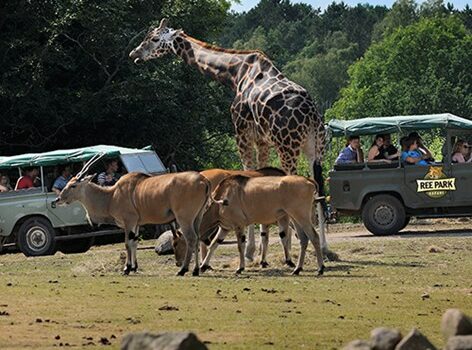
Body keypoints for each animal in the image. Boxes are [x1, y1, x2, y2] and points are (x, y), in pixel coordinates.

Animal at [56, 155, 209, 276]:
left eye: (73, 185)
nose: (58, 199)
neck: (111, 196)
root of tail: (203, 180)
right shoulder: (136, 224)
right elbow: (134, 241)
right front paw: (135, 267)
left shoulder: (128, 221)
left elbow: (127, 243)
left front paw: (127, 268)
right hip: (198, 217)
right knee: (197, 238)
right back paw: (196, 270)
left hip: (184, 218)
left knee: (191, 238)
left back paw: (183, 270)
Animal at [129, 18, 336, 260]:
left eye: (154, 38)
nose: (134, 53)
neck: (235, 73)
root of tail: (311, 114)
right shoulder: (262, 140)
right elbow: (260, 176)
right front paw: (261, 248)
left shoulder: (242, 133)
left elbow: (248, 174)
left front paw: (250, 251)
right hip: (315, 149)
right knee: (319, 189)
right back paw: (325, 248)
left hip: (287, 146)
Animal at [186, 175, 326, 276]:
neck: (223, 196)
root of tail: (308, 181)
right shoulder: (225, 228)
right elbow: (214, 244)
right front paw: (203, 266)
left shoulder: (239, 226)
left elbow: (240, 246)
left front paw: (240, 268)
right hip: (295, 219)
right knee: (304, 239)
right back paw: (297, 269)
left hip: (301, 217)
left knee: (314, 236)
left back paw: (320, 268)